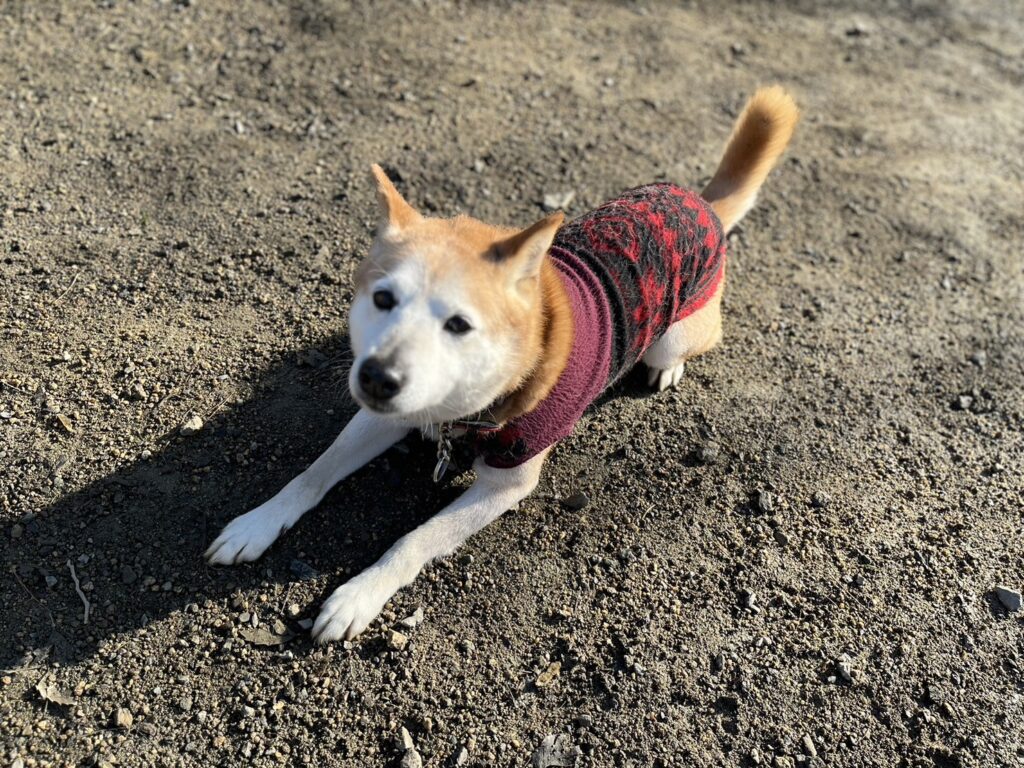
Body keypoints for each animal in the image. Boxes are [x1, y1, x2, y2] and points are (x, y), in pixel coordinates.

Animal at [205, 86, 799, 642]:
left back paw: (668, 369)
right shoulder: (384, 415)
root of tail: (700, 202)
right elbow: (314, 472)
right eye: (382, 299)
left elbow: (412, 540)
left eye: (459, 325)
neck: (465, 409)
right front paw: (257, 523)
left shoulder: (505, 484)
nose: (376, 378)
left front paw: (358, 594)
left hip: (674, 335)